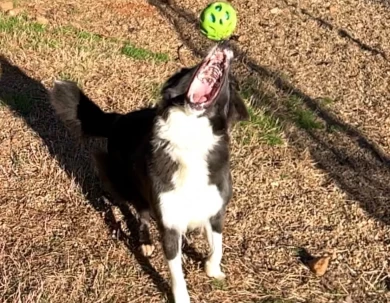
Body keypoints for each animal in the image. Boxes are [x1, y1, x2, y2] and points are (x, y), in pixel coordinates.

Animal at [50, 41, 248, 302]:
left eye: (232, 84)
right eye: (191, 67)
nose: (226, 43)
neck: (190, 137)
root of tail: (118, 120)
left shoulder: (215, 209)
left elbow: (218, 245)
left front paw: (212, 270)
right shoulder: (170, 224)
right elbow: (177, 272)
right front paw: (182, 297)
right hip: (124, 182)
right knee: (140, 212)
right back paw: (144, 241)